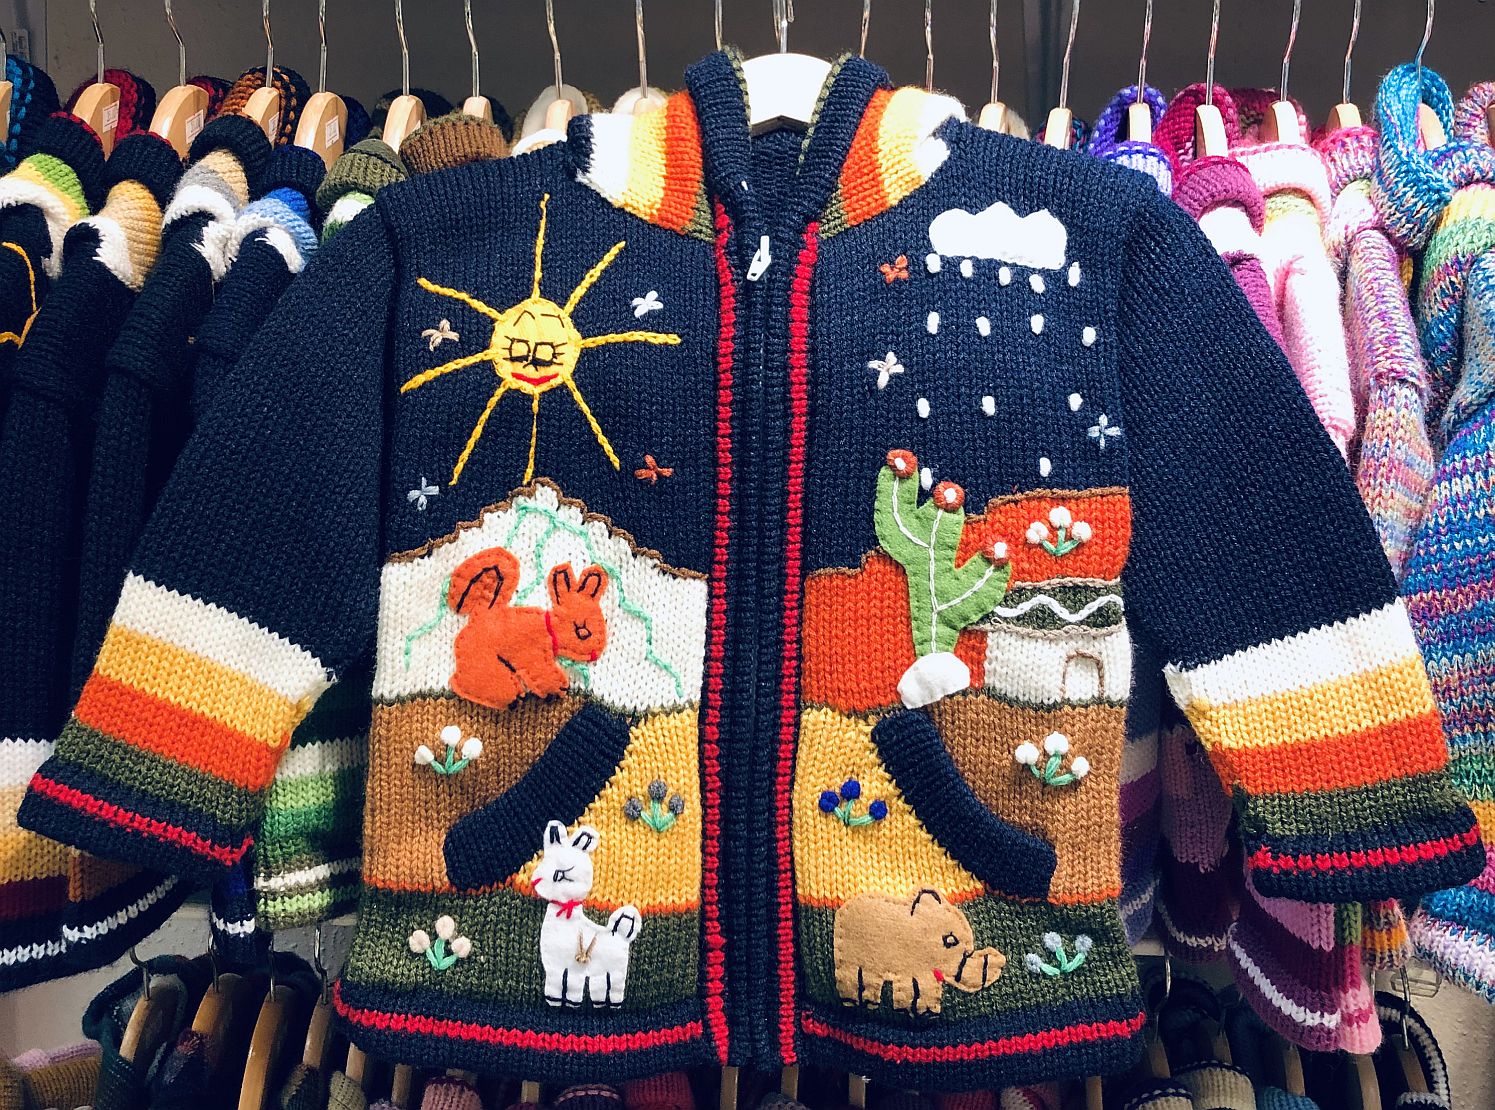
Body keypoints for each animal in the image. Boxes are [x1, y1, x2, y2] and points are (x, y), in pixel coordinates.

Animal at [446, 545, 610, 710]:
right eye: (583, 632)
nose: (595, 654)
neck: (549, 629)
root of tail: (480, 613)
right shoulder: (536, 656)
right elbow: (543, 672)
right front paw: (555, 689)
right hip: (480, 655)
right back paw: (511, 697)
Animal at [532, 820, 642, 1008]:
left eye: (560, 875)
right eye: (543, 862)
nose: (534, 881)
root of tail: (619, 932)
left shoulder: (572, 971)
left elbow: (572, 987)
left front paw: (571, 1003)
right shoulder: (555, 968)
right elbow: (556, 986)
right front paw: (555, 1000)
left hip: (615, 971)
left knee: (614, 987)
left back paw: (613, 1004)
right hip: (601, 973)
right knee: (600, 986)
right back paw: (599, 1003)